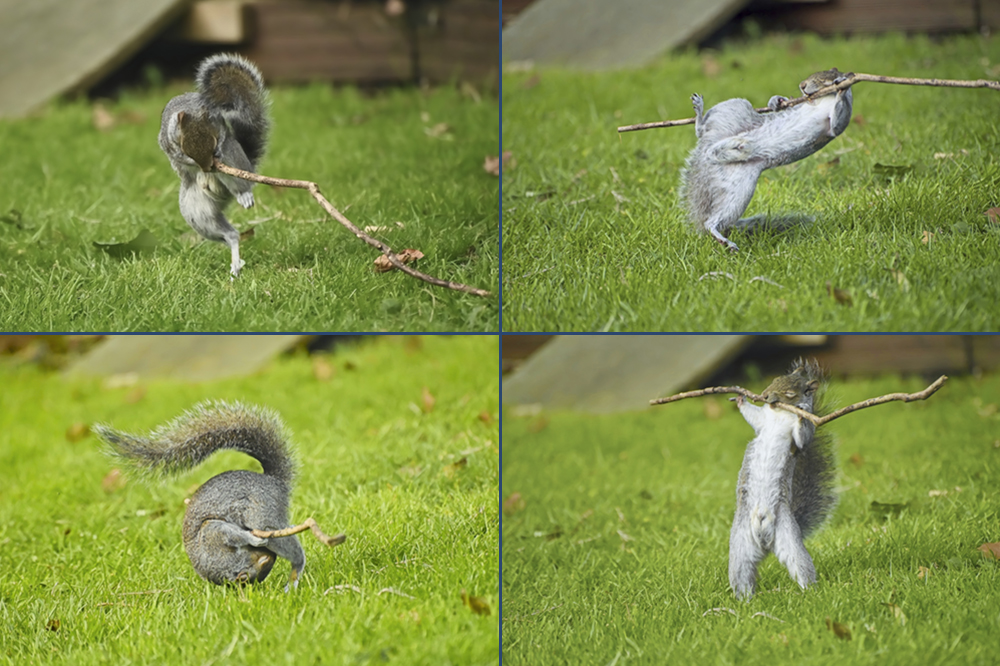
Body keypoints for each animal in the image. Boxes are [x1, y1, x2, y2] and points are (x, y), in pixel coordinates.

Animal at [95, 400, 304, 588]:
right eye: (247, 577)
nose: (269, 557)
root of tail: (274, 481)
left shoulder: (213, 533)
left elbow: (234, 534)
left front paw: (253, 539)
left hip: (261, 514)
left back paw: (295, 570)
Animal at [158, 53, 272, 278]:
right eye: (183, 144)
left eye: (212, 140)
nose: (207, 167)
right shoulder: (166, 139)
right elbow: (174, 154)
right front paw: (186, 160)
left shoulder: (219, 126)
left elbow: (223, 136)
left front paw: (217, 149)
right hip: (198, 213)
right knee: (231, 235)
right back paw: (236, 263)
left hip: (235, 163)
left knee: (240, 187)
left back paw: (244, 195)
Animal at [684, 68, 856, 252]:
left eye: (829, 74)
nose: (802, 85)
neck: (823, 99)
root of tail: (708, 151)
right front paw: (777, 100)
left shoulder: (836, 126)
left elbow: (837, 122)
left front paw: (842, 87)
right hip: (732, 111)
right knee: (702, 130)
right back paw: (700, 114)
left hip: (739, 189)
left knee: (714, 220)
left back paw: (722, 238)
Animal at [728, 358, 836, 596]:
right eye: (775, 379)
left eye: (789, 392)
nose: (765, 395)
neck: (779, 414)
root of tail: (765, 544)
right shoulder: (763, 421)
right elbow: (754, 417)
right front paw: (740, 398)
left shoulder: (799, 439)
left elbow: (803, 437)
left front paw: (802, 412)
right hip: (741, 545)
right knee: (742, 573)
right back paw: (744, 599)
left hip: (788, 536)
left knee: (800, 565)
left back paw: (809, 592)